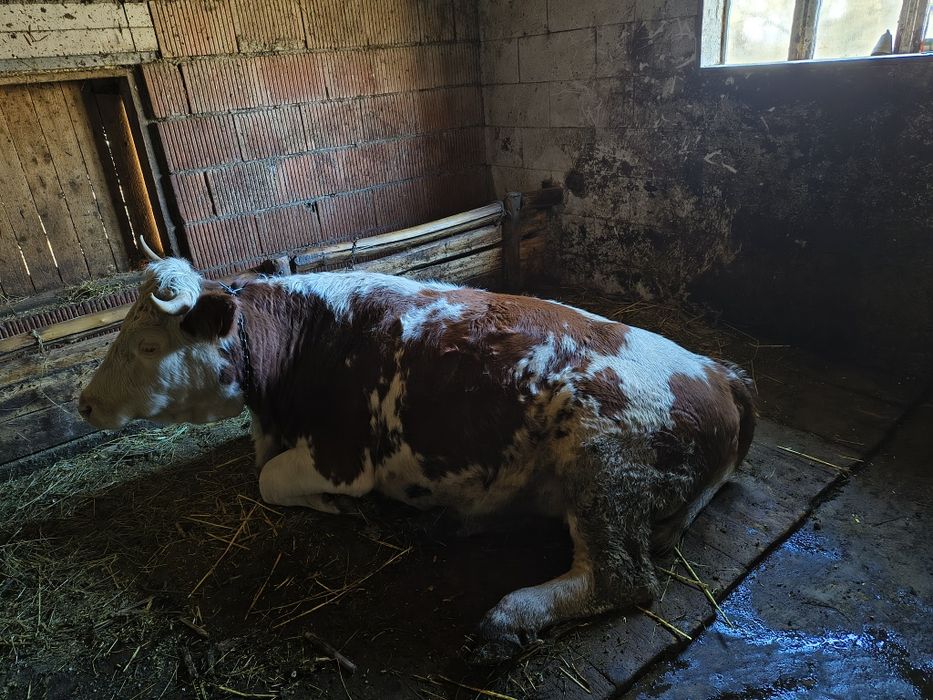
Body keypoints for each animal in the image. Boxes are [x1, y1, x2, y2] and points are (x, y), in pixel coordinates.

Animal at [78, 252, 755, 663]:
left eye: (147, 344)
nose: (83, 403)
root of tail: (716, 368)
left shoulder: (343, 458)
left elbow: (269, 480)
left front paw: (344, 510)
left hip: (602, 457)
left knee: (622, 578)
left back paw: (508, 617)